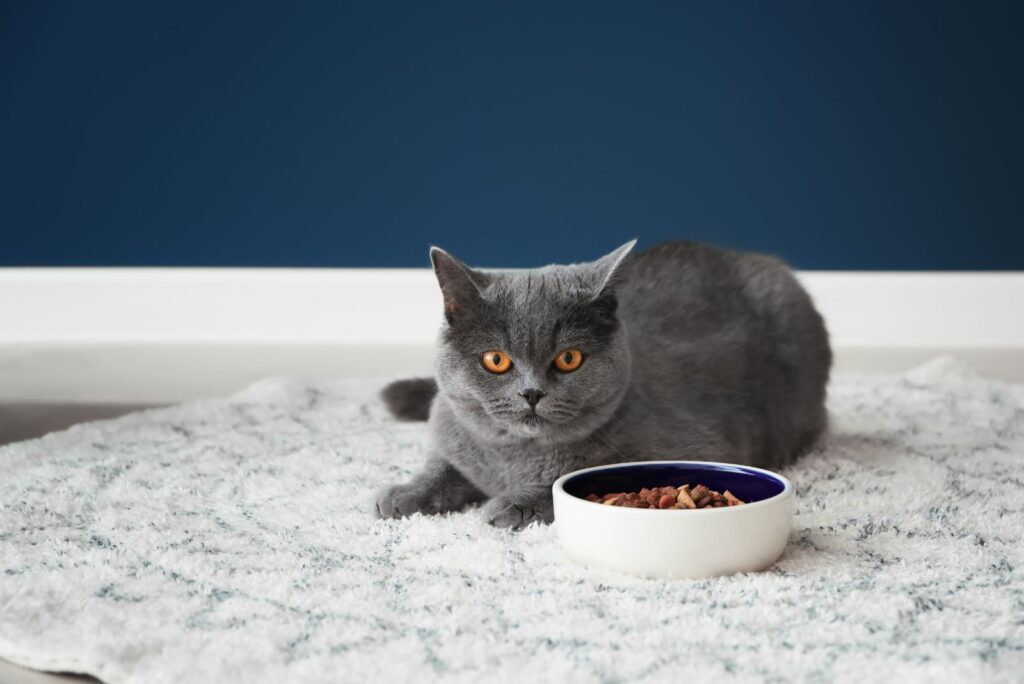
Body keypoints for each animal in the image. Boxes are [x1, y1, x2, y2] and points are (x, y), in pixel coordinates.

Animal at [376, 240, 831, 528]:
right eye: (496, 360)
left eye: (569, 358)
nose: (531, 393)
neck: (512, 458)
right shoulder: (450, 429)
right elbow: (442, 467)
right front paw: (403, 495)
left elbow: (563, 482)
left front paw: (511, 505)